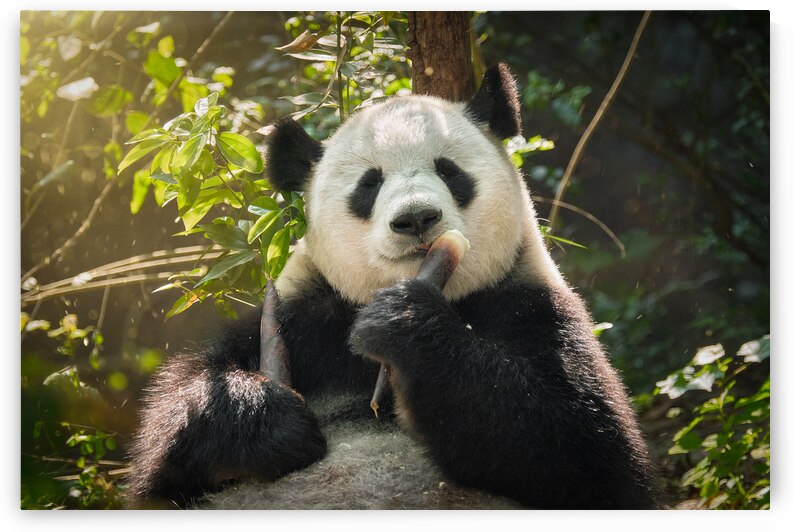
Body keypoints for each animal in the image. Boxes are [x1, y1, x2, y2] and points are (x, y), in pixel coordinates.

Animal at [128, 63, 657, 509]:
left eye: (449, 170)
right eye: (369, 184)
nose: (416, 218)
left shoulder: (530, 304)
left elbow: (586, 451)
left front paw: (404, 323)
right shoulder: (304, 314)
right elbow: (173, 429)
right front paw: (270, 419)